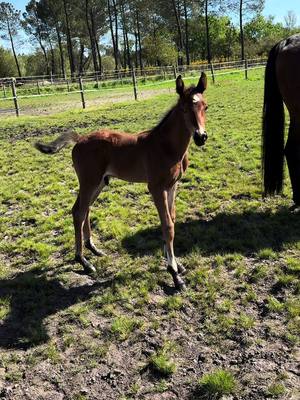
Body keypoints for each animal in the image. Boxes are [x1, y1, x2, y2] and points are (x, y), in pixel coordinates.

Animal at [36, 73, 207, 290]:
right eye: (184, 109)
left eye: (205, 107)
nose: (201, 137)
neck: (167, 146)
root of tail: (80, 139)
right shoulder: (156, 188)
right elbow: (167, 226)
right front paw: (174, 274)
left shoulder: (172, 186)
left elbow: (173, 220)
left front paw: (177, 264)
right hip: (89, 181)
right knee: (78, 212)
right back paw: (83, 262)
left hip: (99, 182)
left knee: (85, 209)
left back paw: (93, 249)